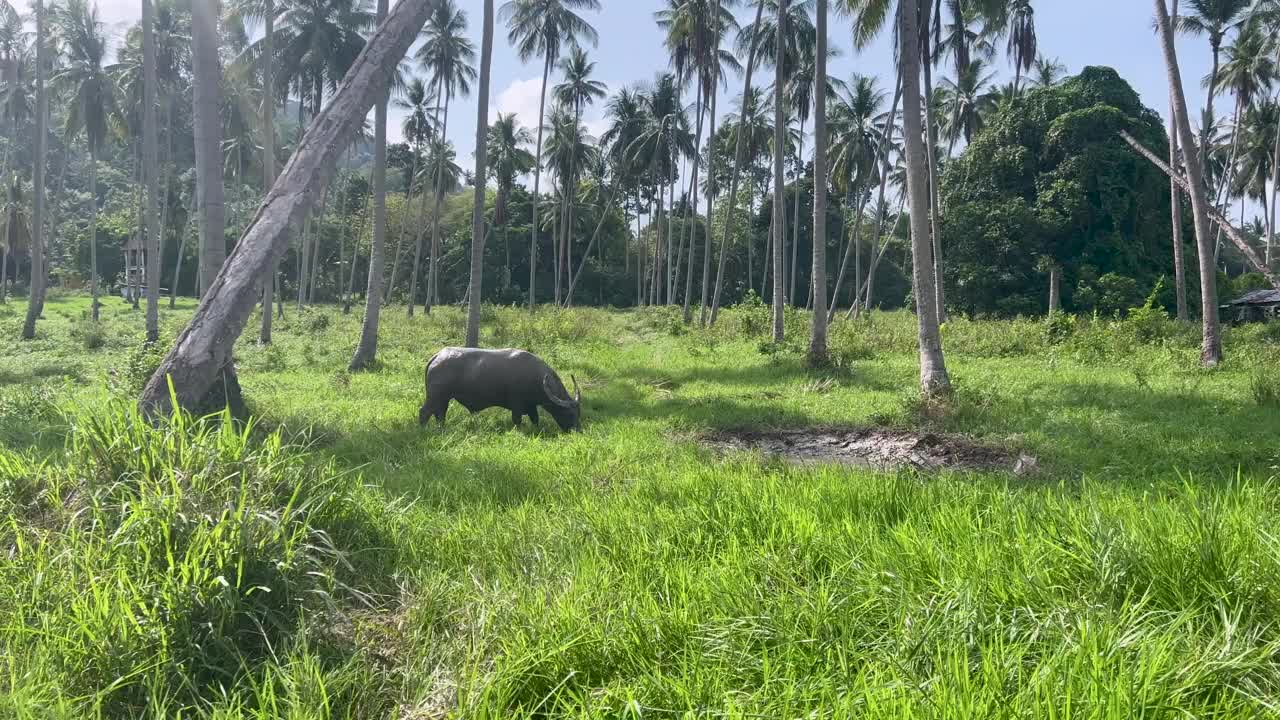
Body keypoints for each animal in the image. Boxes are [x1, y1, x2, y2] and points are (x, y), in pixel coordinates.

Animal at [417, 345, 583, 427]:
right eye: (570, 414)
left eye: (579, 414)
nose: (576, 431)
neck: (536, 378)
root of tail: (438, 356)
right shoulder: (517, 406)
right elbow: (517, 421)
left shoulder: (531, 407)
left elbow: (535, 421)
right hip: (435, 396)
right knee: (424, 412)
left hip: (443, 399)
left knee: (440, 414)